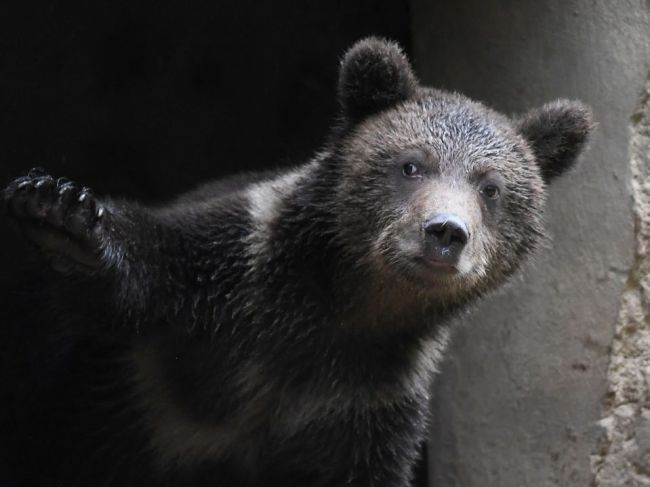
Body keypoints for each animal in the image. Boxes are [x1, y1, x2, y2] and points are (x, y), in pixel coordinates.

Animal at [0, 39, 588, 487]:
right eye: (411, 165)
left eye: (491, 188)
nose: (445, 232)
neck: (344, 309)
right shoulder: (232, 268)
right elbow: (146, 262)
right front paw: (59, 209)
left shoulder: (365, 400)